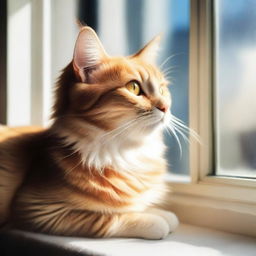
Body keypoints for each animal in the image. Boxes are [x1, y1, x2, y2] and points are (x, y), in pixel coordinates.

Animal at [0, 26, 179, 240]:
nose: (166, 107)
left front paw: (158, 212)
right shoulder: (37, 208)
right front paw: (153, 220)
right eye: (134, 87)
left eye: (162, 89)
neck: (127, 152)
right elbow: (107, 218)